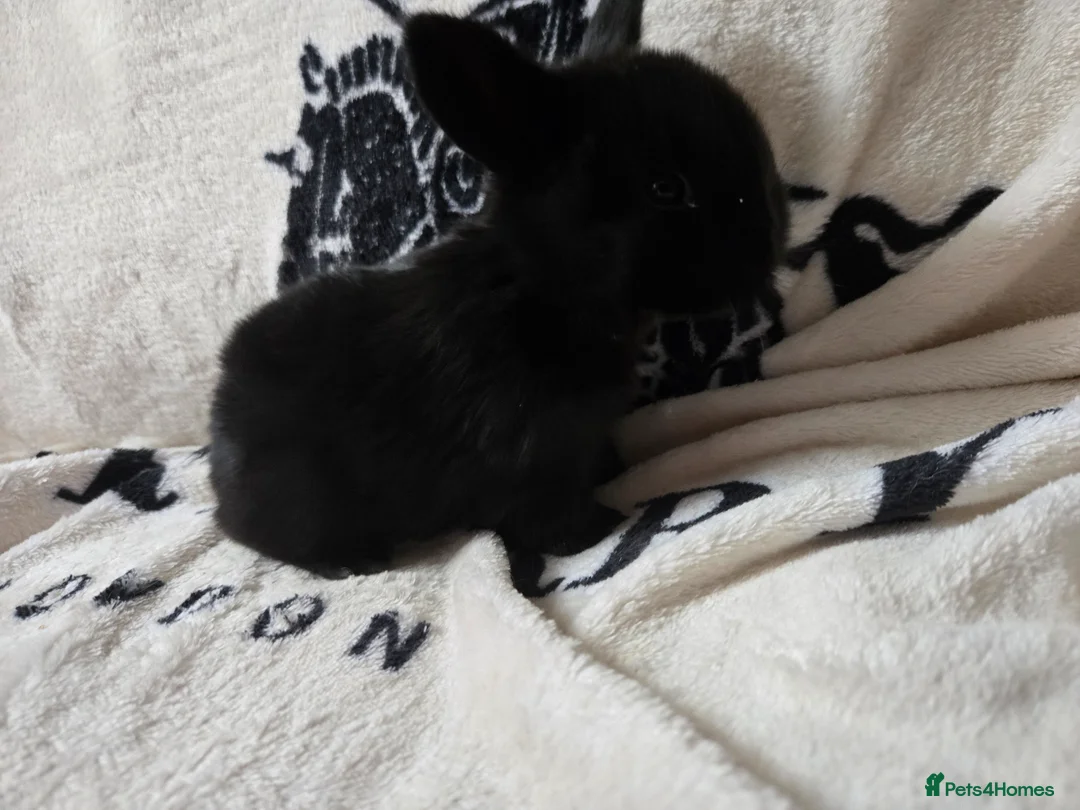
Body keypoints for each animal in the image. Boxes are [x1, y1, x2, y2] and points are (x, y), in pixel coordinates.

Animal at [208, 0, 789, 579]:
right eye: (665, 187)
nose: (776, 236)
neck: (545, 286)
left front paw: (613, 468)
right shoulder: (530, 456)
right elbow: (550, 515)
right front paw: (600, 528)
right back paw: (353, 562)